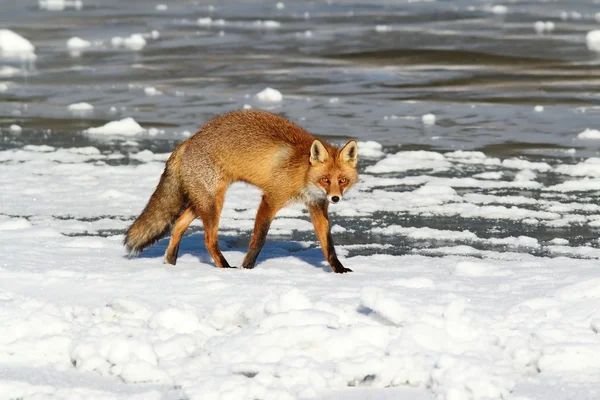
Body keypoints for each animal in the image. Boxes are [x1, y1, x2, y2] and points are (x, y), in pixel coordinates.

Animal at [122, 108, 356, 274]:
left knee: (178, 224)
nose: (335, 198)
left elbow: (328, 245)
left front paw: (339, 270)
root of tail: (189, 139)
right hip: (213, 203)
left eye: (342, 181)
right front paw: (247, 268)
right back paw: (225, 268)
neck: (302, 172)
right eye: (325, 180)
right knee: (208, 239)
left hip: (201, 202)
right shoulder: (270, 199)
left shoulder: (317, 205)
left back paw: (170, 262)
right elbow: (259, 240)